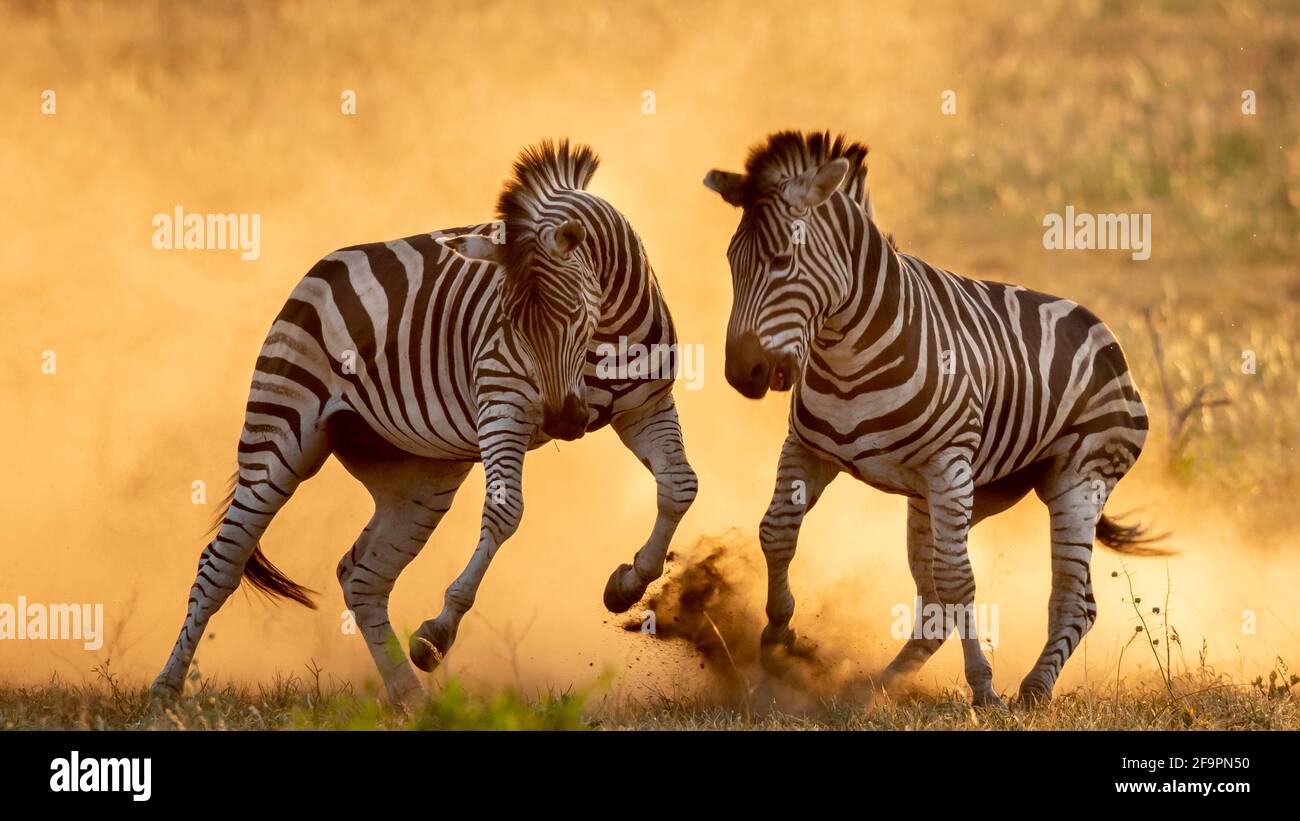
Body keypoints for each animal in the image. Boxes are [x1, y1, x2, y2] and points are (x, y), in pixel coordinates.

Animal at [149, 140, 702, 706]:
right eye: (508, 325)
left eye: (571, 315)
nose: (565, 421)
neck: (606, 331)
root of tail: (320, 268)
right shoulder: (503, 401)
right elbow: (505, 513)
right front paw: (438, 632)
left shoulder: (647, 406)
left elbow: (680, 485)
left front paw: (627, 585)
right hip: (278, 433)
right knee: (221, 562)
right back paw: (166, 690)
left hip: (418, 475)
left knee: (363, 576)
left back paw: (411, 699)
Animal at [707, 129, 1164, 706]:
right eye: (731, 260)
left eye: (785, 259)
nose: (742, 374)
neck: (845, 355)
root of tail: (1103, 331)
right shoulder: (807, 450)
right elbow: (776, 532)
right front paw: (775, 639)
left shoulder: (948, 466)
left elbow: (957, 581)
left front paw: (984, 688)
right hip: (961, 494)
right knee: (933, 601)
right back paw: (873, 686)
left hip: (1076, 480)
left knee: (1070, 601)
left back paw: (1032, 690)